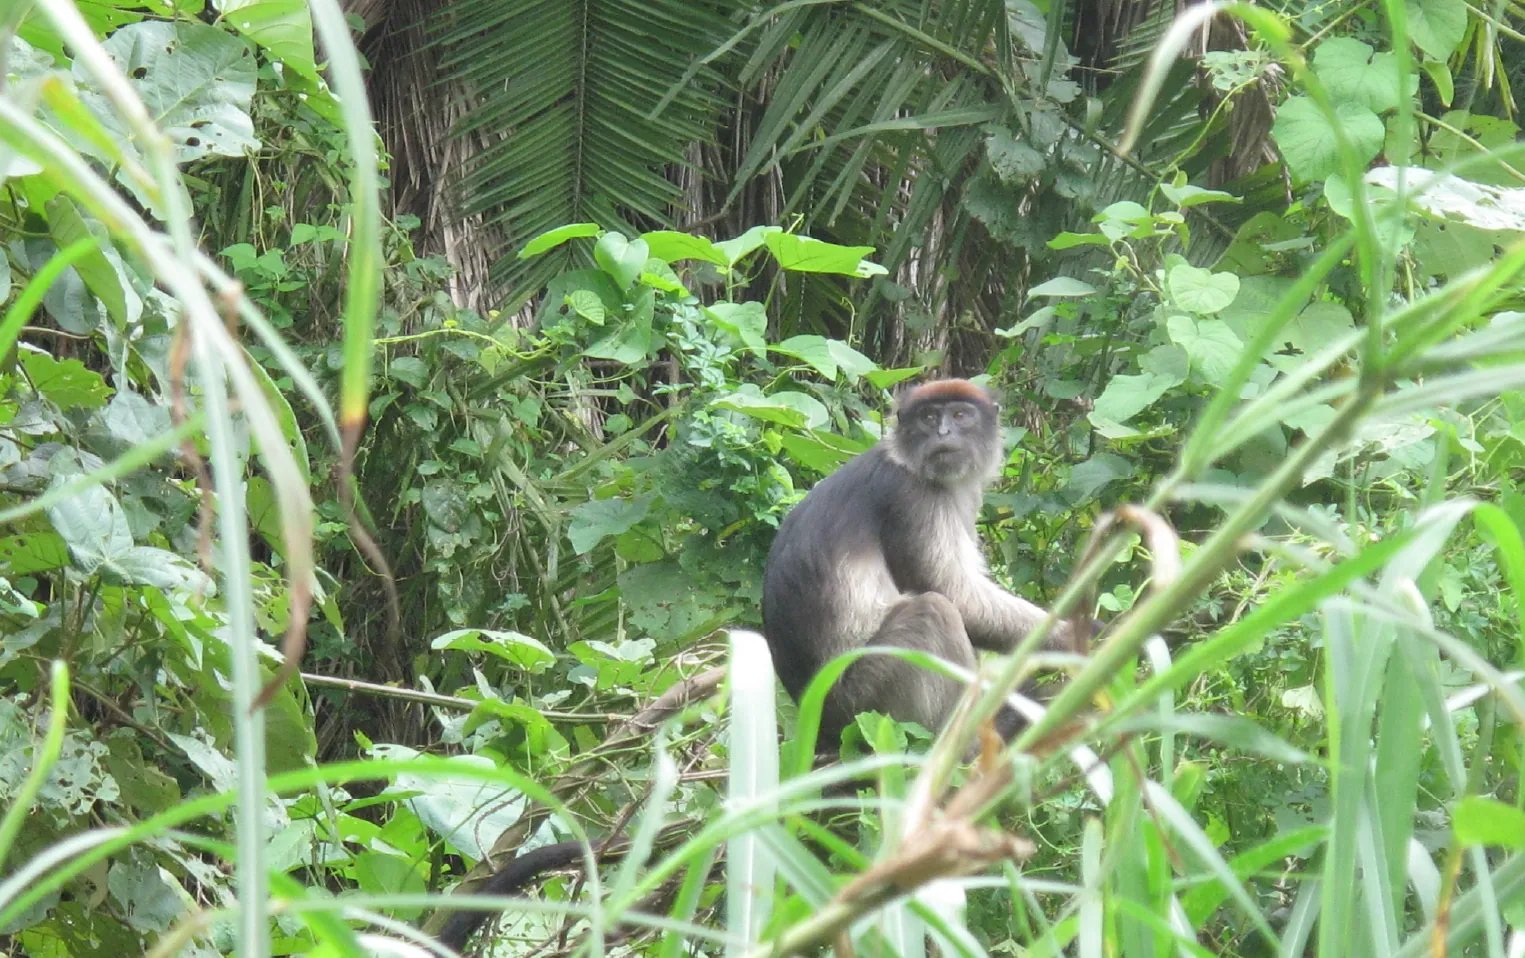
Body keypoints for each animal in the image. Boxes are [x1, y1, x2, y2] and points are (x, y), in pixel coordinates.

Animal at [762, 378, 1069, 746]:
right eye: (929, 416)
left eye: (960, 415)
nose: (943, 431)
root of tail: (821, 729)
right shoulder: (913, 497)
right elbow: (955, 595)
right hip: (862, 701)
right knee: (932, 611)